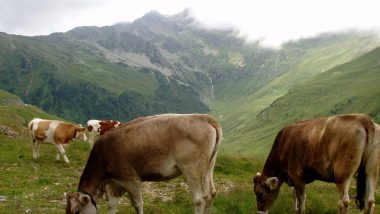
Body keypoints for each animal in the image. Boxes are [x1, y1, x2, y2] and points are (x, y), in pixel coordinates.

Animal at [63, 113, 221, 213]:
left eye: (76, 212)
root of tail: (205, 118)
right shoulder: (115, 183)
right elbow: (112, 205)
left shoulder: (130, 179)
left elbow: (138, 204)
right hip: (208, 166)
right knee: (211, 193)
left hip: (191, 168)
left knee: (200, 198)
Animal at [252, 114, 380, 214]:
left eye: (260, 193)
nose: (259, 212)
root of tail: (362, 118)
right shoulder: (296, 178)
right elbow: (294, 194)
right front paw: (294, 208)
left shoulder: (296, 174)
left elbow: (301, 199)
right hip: (372, 170)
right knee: (370, 201)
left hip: (342, 172)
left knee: (344, 202)